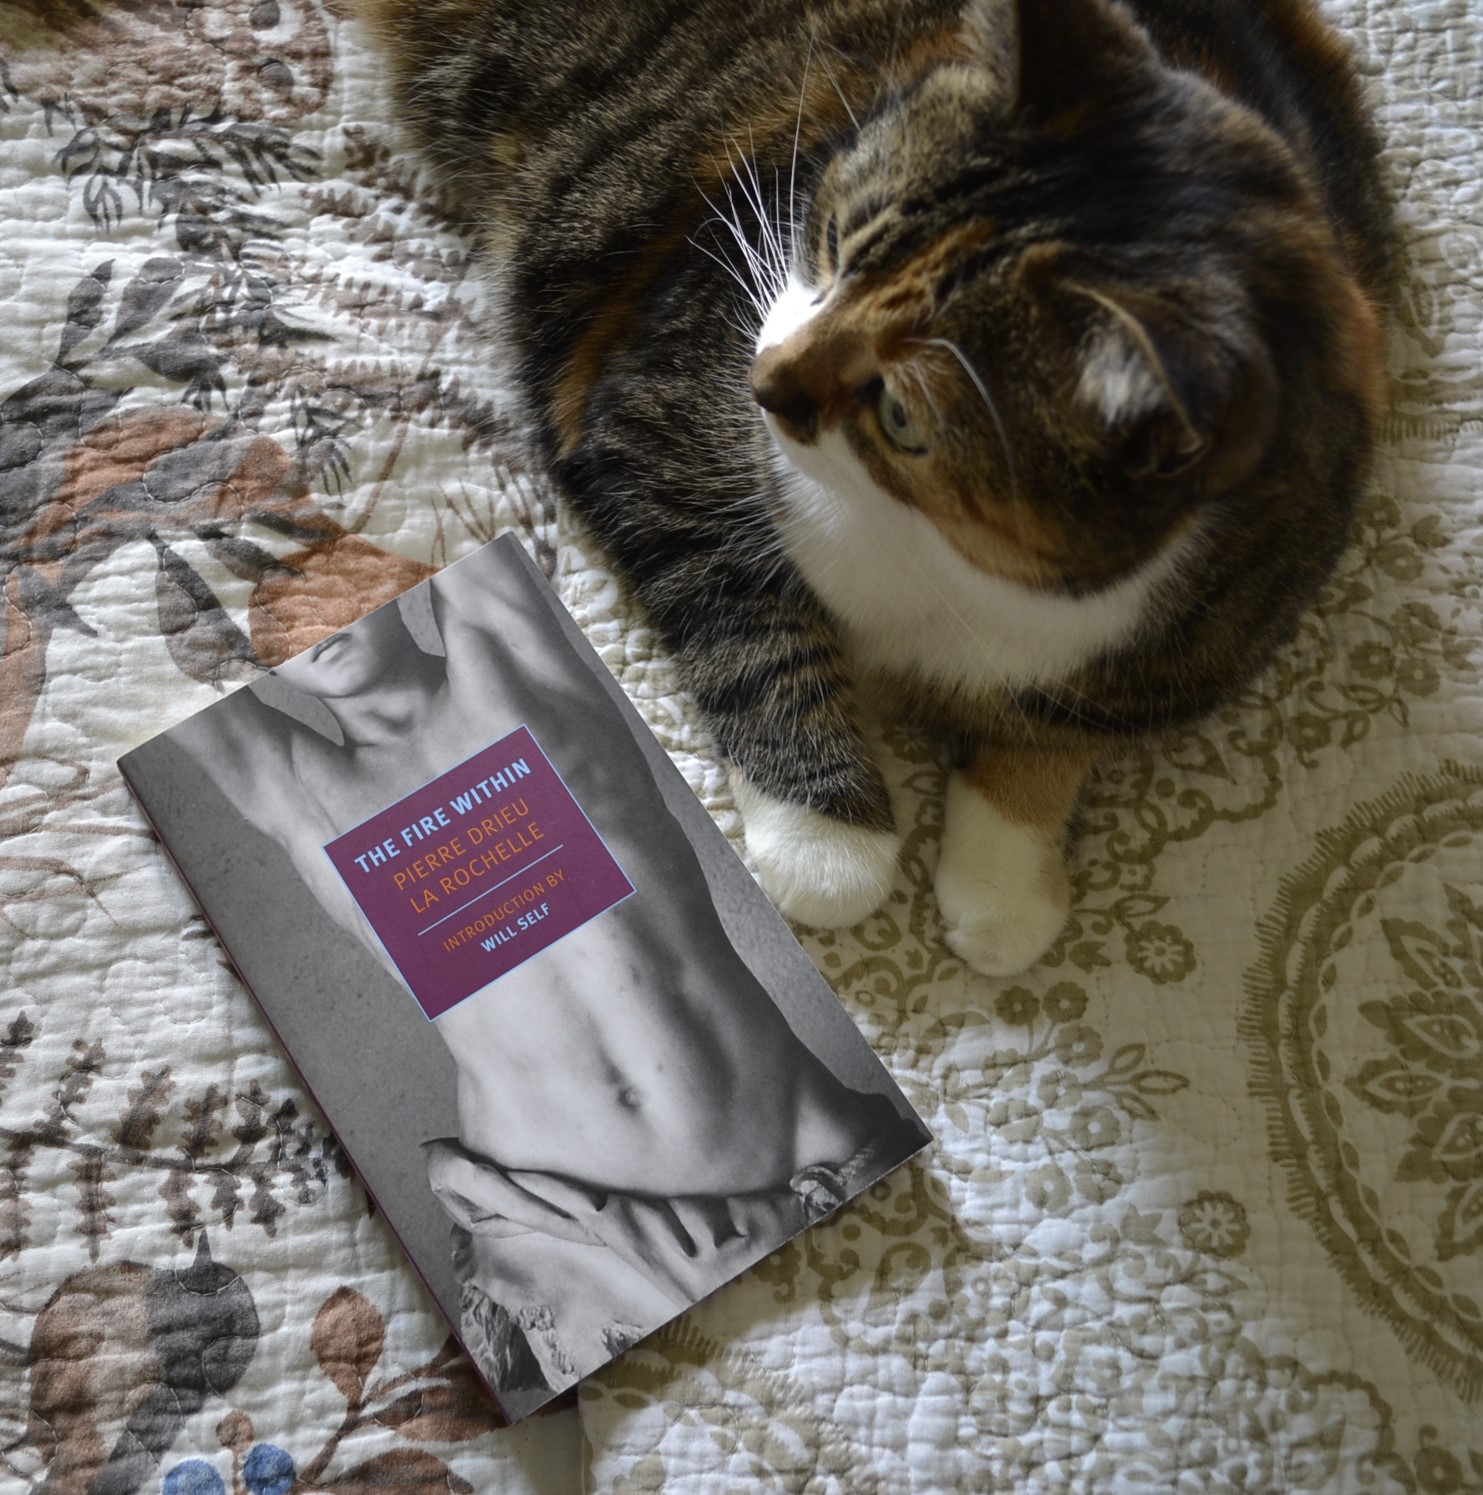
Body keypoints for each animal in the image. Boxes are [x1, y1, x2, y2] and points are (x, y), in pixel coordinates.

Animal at [346, 0, 1387, 974]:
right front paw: (829, 841)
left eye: (901, 415)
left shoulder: (1179, 635)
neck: (941, 555)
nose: (761, 383)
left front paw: (1005, 880)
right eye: (839, 241)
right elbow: (751, 630)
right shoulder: (659, 415)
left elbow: (1053, 726)